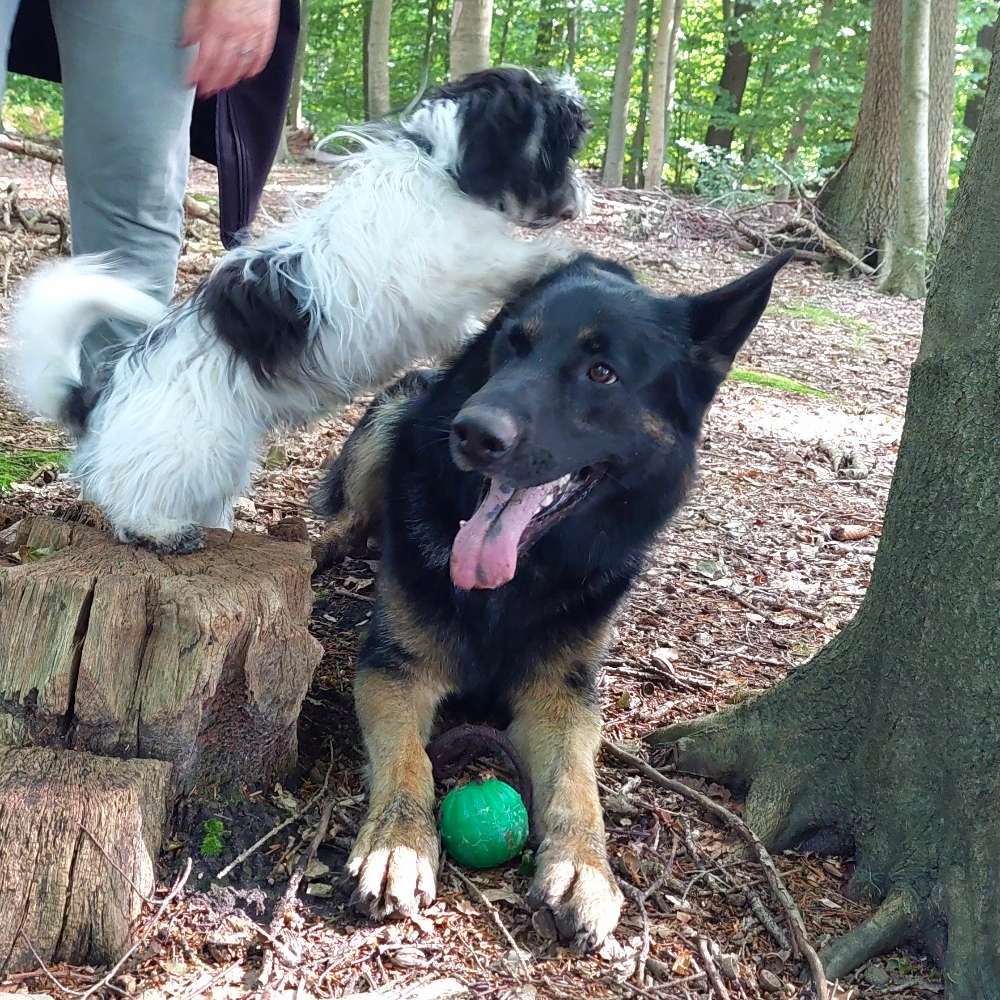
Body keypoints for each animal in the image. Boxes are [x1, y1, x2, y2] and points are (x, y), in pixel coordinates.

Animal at [5, 70, 584, 556]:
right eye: (558, 143)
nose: (581, 202)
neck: (437, 166)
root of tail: (100, 396)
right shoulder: (443, 273)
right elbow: (503, 261)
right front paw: (558, 257)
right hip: (184, 447)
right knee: (127, 494)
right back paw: (158, 530)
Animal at [312, 250, 788, 952]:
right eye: (513, 346)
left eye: (602, 372)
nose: (471, 434)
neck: (512, 587)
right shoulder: (394, 672)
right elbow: (406, 763)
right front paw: (398, 843)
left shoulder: (563, 696)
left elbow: (576, 783)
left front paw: (584, 866)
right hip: (399, 412)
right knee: (354, 511)